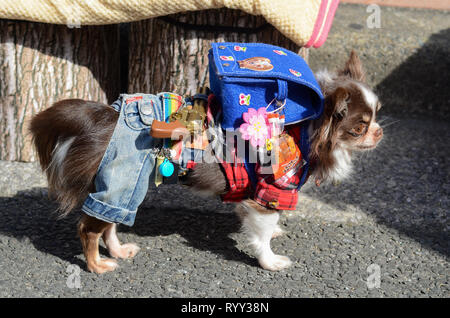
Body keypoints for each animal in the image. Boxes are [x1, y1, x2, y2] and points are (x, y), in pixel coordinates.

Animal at [29, 50, 382, 274]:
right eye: (360, 127)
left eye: (377, 116)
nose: (380, 132)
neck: (305, 129)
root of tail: (106, 114)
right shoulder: (272, 188)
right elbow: (263, 232)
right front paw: (270, 261)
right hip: (122, 179)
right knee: (89, 228)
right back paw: (97, 266)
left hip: (125, 181)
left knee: (109, 223)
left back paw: (117, 250)